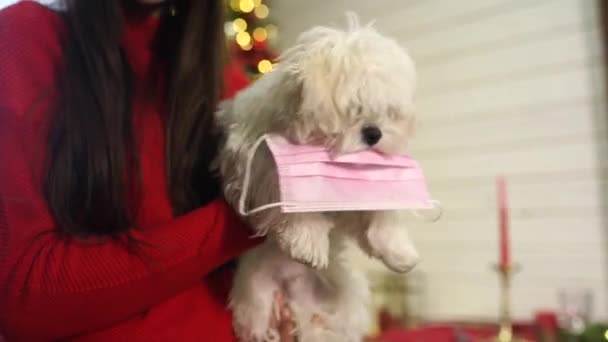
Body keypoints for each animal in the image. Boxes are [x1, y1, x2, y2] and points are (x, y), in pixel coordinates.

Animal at [216, 15, 420, 342]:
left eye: (388, 113)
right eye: (354, 109)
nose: (374, 133)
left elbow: (380, 209)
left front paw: (397, 250)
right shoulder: (255, 162)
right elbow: (282, 194)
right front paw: (307, 239)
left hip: (343, 300)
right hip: (256, 295)